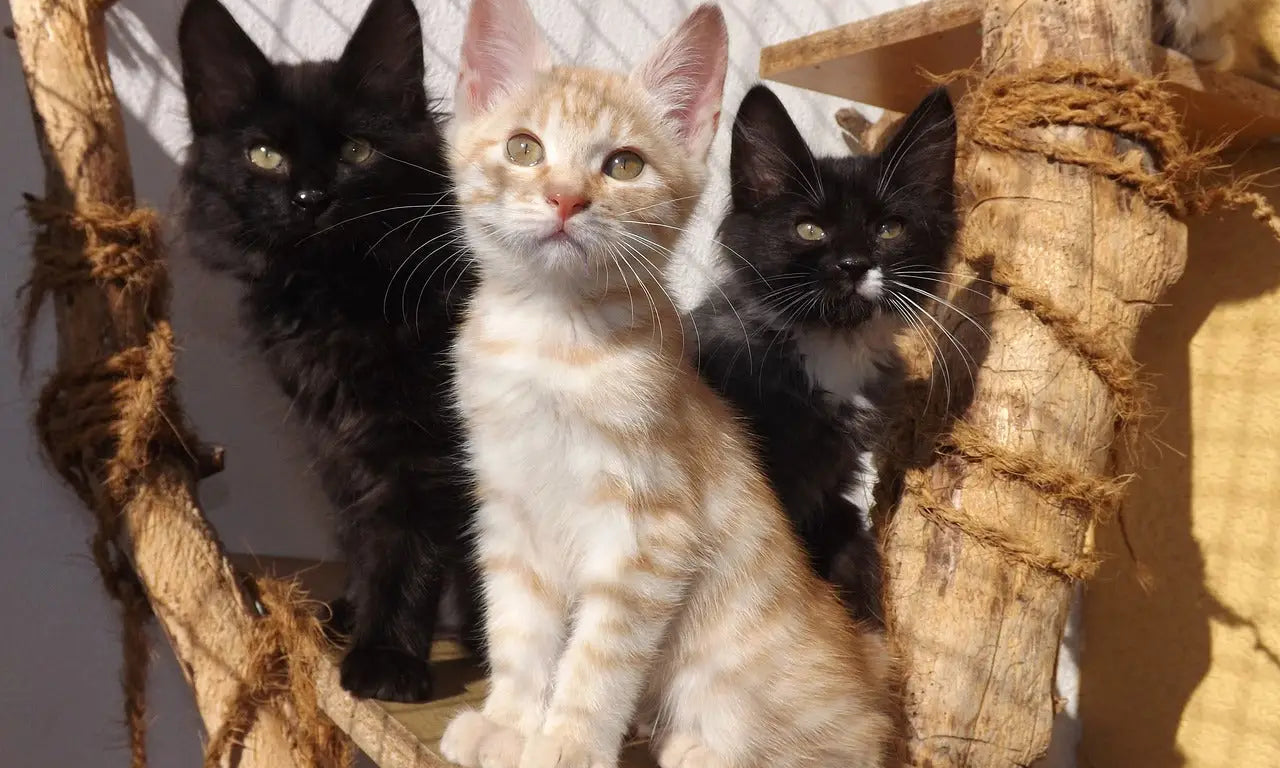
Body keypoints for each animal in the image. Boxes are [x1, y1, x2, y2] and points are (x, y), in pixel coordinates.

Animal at [176, 0, 481, 701]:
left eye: (357, 151)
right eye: (265, 155)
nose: (312, 199)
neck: (339, 294)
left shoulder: (424, 444)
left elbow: (405, 544)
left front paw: (387, 659)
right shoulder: (338, 444)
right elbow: (363, 539)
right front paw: (356, 614)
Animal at [440, 1, 890, 768]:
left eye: (624, 164)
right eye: (524, 149)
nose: (565, 198)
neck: (551, 341)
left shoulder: (652, 534)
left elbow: (600, 656)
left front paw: (566, 743)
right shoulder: (509, 509)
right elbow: (519, 628)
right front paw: (508, 720)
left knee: (844, 745)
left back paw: (706, 748)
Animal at [696, 85, 957, 624]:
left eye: (890, 229)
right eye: (810, 230)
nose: (854, 264)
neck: (834, 346)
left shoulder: (833, 484)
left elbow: (850, 544)